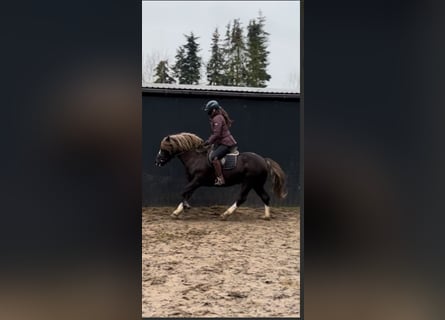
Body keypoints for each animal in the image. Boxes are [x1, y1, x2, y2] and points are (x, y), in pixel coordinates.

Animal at [154, 132, 288, 220]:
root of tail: (264, 160)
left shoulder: (197, 181)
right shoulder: (193, 182)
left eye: (163, 148)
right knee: (265, 197)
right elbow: (187, 193)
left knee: (242, 198)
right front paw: (177, 212)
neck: (195, 158)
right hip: (256, 184)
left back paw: (225, 214)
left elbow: (183, 192)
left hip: (248, 182)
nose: (157, 162)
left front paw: (184, 207)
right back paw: (266, 216)